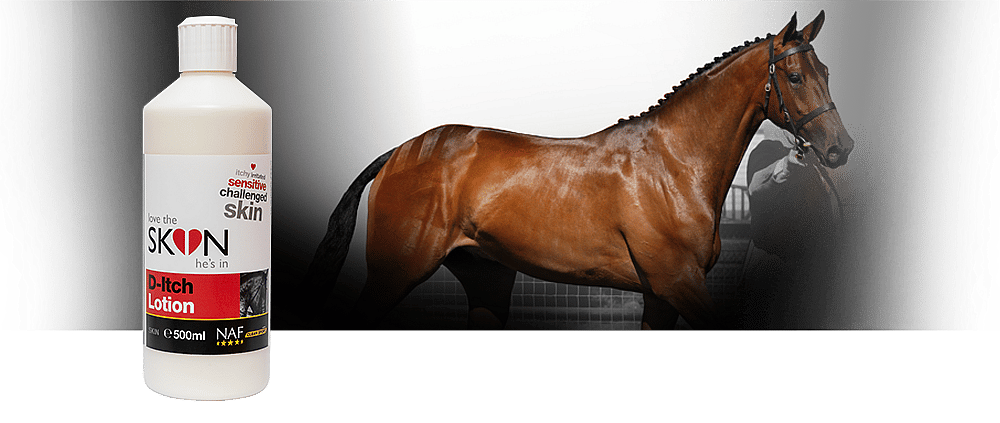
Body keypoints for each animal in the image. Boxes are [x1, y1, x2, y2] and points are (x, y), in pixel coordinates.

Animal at [307, 11, 854, 330]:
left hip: (486, 278)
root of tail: (399, 152)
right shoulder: (681, 284)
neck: (674, 165)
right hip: (396, 272)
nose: (839, 148)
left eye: (827, 72)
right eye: (795, 76)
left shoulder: (659, 296)